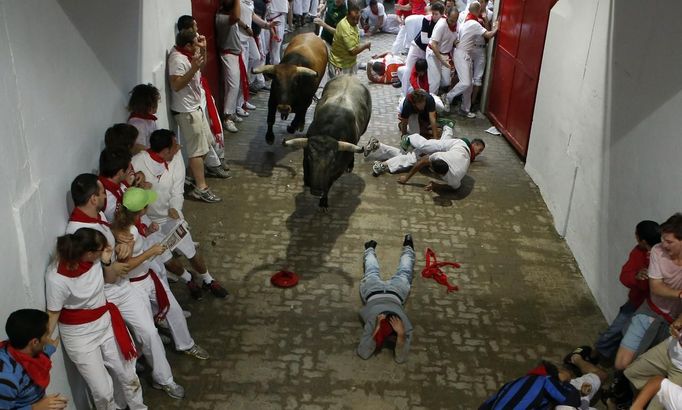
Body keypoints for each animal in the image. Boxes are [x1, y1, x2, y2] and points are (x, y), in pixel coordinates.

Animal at [282, 75, 372, 208]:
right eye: (309, 157)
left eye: (333, 162)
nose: (316, 191)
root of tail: (349, 76)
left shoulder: (338, 169)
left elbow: (329, 183)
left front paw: (323, 201)